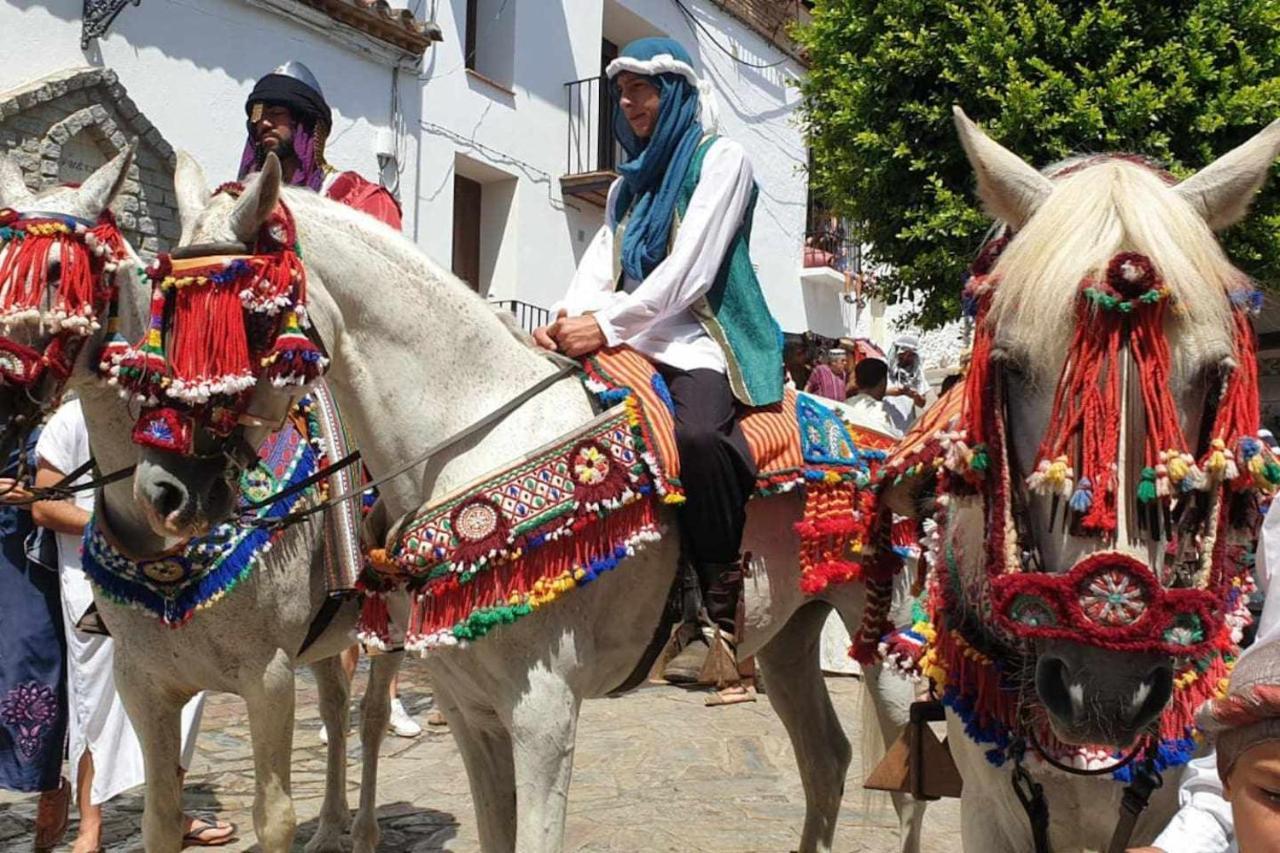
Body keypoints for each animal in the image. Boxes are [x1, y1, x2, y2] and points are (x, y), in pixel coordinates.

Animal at [0, 147, 404, 850]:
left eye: (55, 271)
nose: (168, 491)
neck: (164, 550)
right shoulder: (145, 684)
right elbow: (159, 815)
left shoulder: (268, 678)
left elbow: (274, 818)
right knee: (333, 704)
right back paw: (330, 825)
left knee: (371, 716)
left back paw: (363, 831)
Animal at [122, 149, 931, 845]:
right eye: (157, 309)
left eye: (248, 318)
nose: (164, 490)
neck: (470, 436)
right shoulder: (470, 710)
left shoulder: (543, 717)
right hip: (790, 633)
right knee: (826, 762)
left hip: (890, 642)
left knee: (905, 789)